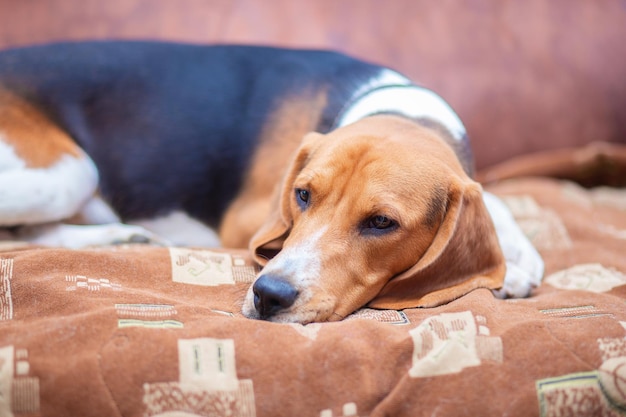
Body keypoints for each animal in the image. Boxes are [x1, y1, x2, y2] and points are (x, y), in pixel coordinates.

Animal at [0, 41, 540, 322]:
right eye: (302, 194)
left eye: (382, 222)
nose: (269, 295)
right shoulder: (249, 223)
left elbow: (491, 200)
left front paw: (517, 256)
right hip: (71, 172)